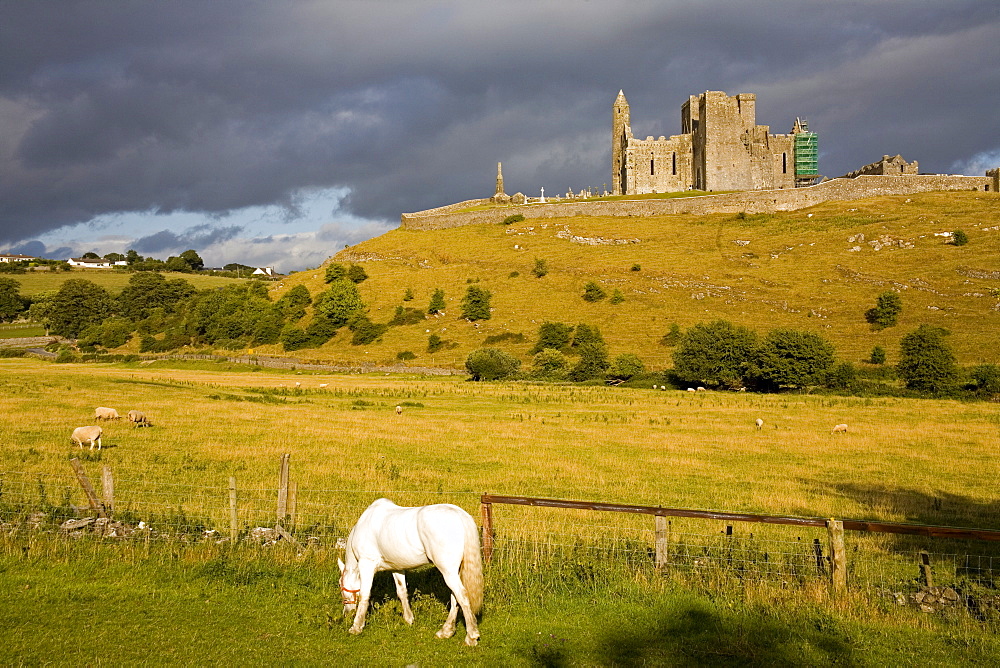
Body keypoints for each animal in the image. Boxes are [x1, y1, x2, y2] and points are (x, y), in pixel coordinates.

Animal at [336, 498, 484, 644]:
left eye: (340, 584)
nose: (346, 613)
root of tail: (460, 515)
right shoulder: (397, 568)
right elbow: (402, 592)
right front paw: (408, 619)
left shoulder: (367, 564)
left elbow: (364, 595)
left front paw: (356, 627)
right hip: (454, 571)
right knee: (455, 598)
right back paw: (446, 631)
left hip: (448, 571)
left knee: (462, 596)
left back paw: (471, 636)